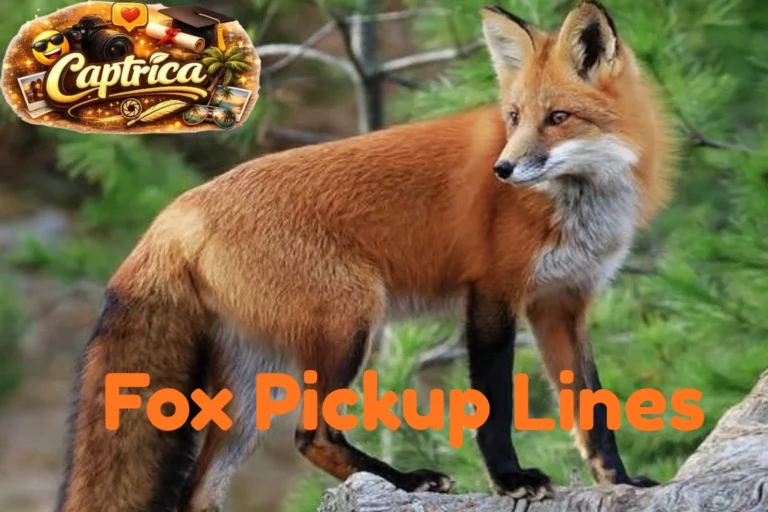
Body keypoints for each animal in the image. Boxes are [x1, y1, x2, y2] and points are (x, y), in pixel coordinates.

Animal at [56, 2, 673, 511]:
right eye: (515, 117)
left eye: (558, 118)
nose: (501, 170)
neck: (579, 202)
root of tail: (177, 210)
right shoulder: (493, 293)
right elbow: (495, 405)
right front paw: (512, 481)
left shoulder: (562, 303)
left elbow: (593, 410)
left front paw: (621, 482)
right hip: (349, 322)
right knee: (311, 436)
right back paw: (406, 480)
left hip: (250, 389)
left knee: (199, 490)